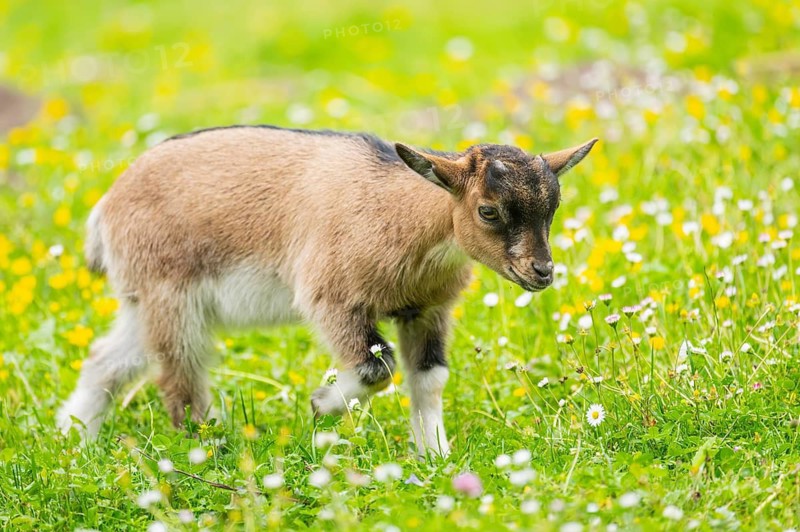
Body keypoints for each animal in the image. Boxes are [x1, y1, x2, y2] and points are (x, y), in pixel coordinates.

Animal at [57, 125, 597, 455]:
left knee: (107, 360)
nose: (541, 272)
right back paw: (205, 446)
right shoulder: (332, 299)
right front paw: (321, 404)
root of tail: (105, 210)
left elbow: (429, 378)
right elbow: (377, 368)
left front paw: (433, 454)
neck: (398, 212)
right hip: (170, 296)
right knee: (178, 378)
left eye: (554, 206)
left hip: (143, 303)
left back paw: (73, 439)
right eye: (487, 210)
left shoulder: (426, 309)